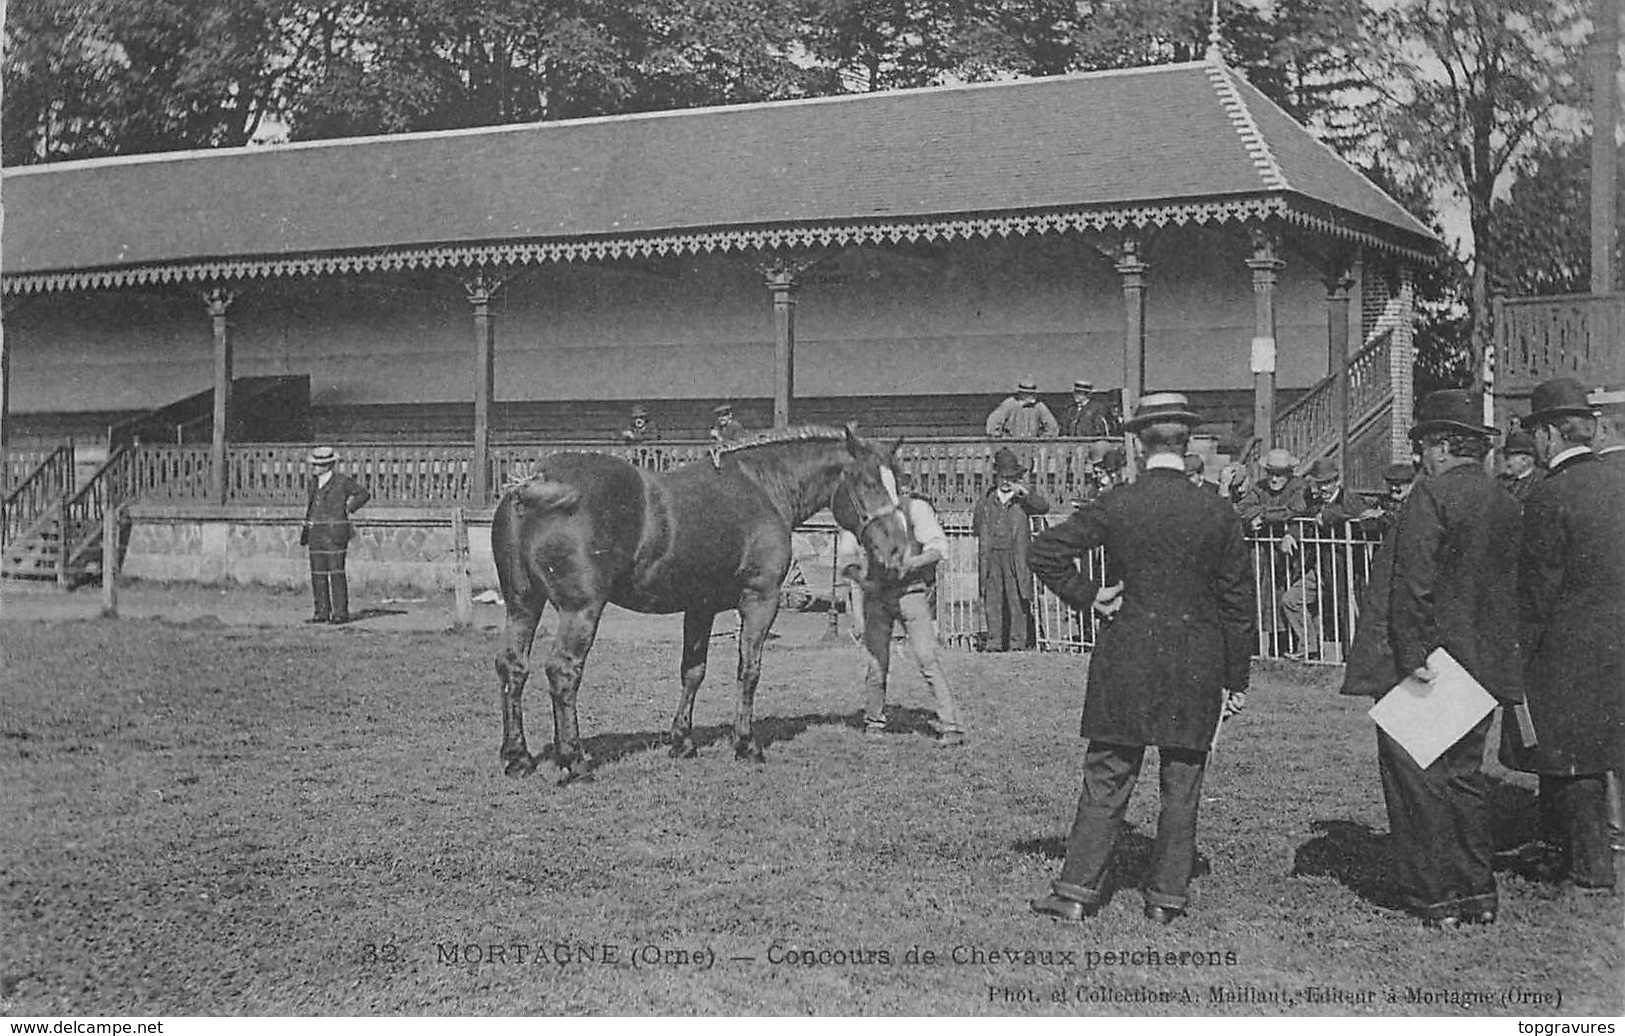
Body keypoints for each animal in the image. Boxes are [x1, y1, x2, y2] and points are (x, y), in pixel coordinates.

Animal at [487, 425, 916, 782]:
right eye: (865, 482)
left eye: (900, 483)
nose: (899, 549)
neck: (763, 487)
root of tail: (534, 481)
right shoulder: (760, 598)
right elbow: (749, 670)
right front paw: (746, 745)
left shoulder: (700, 606)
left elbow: (692, 671)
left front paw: (682, 742)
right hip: (580, 610)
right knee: (563, 671)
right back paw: (574, 761)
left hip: (523, 604)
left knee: (513, 667)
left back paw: (518, 758)